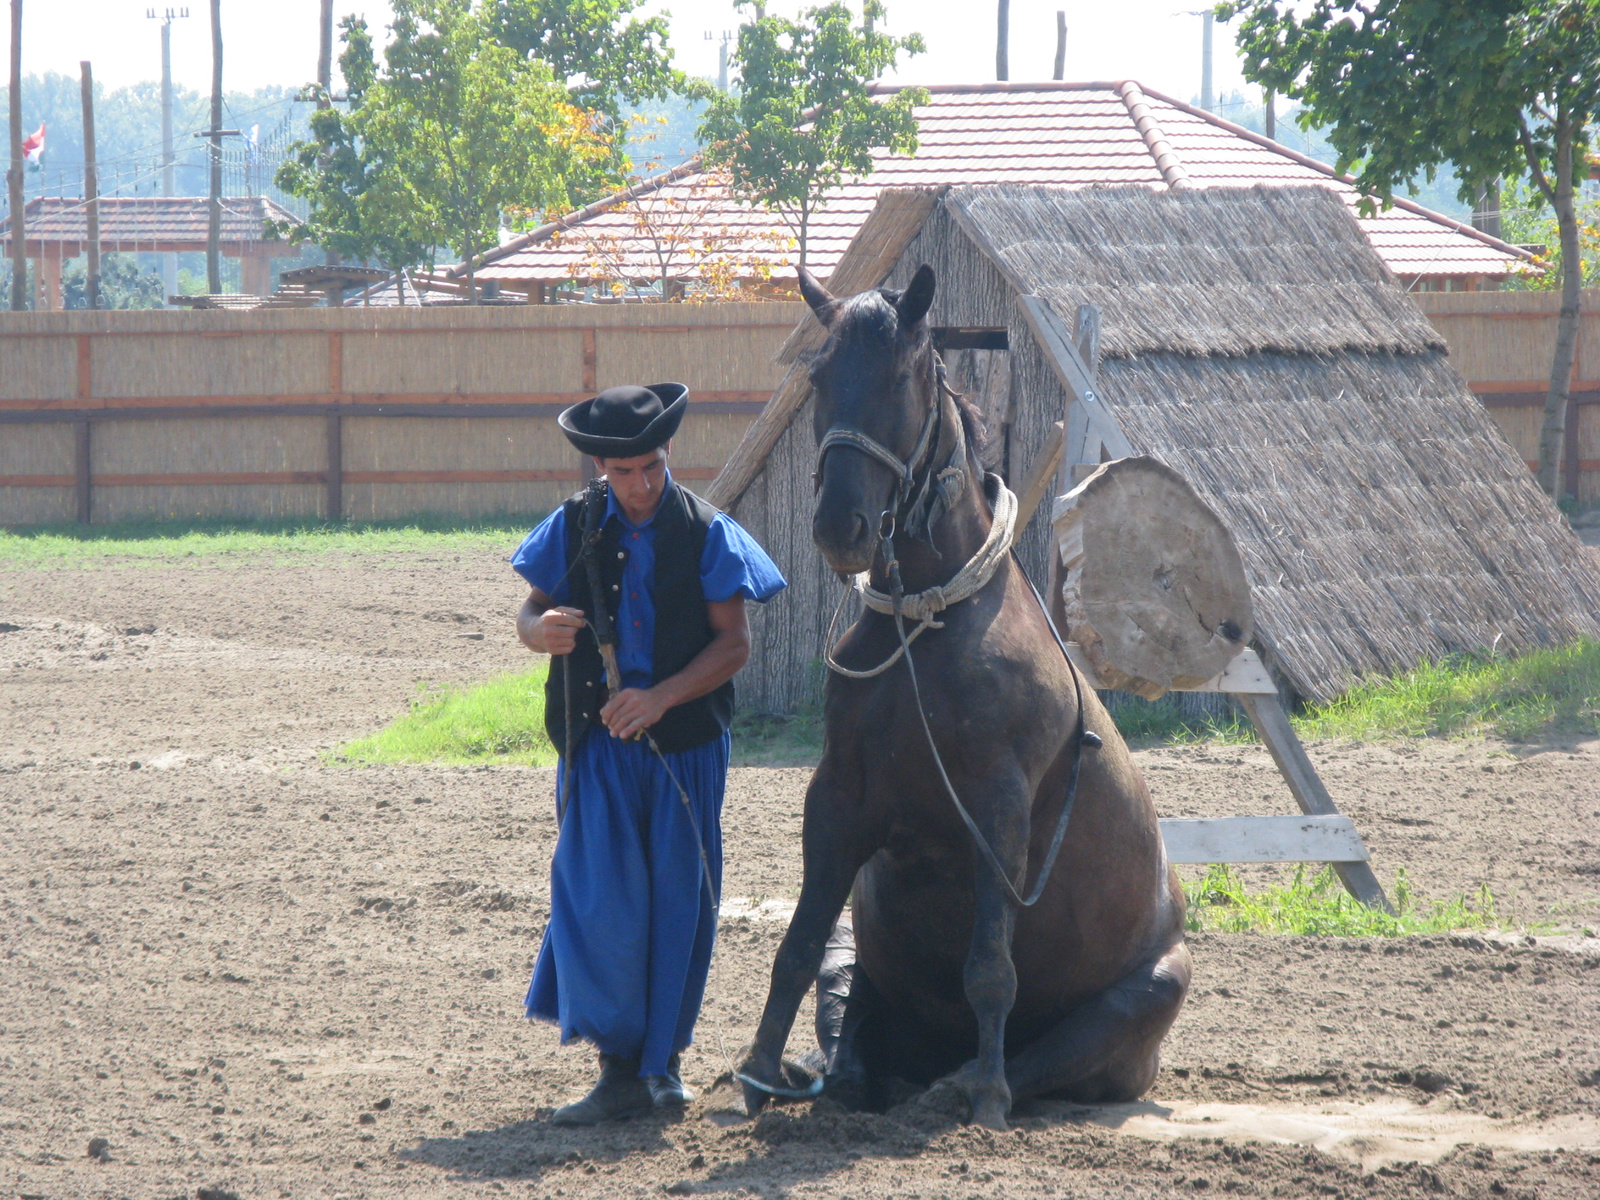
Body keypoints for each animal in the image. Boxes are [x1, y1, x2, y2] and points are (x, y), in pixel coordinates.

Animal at [736, 265, 1190, 1139]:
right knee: (854, 1022)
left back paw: (965, 1084)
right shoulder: (837, 801)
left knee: (1048, 1053)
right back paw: (846, 1076)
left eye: (900, 378)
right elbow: (800, 945)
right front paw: (760, 1072)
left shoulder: (998, 811)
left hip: (1149, 995)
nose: (840, 527)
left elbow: (989, 971)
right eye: (819, 376)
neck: (929, 627)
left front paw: (986, 1098)